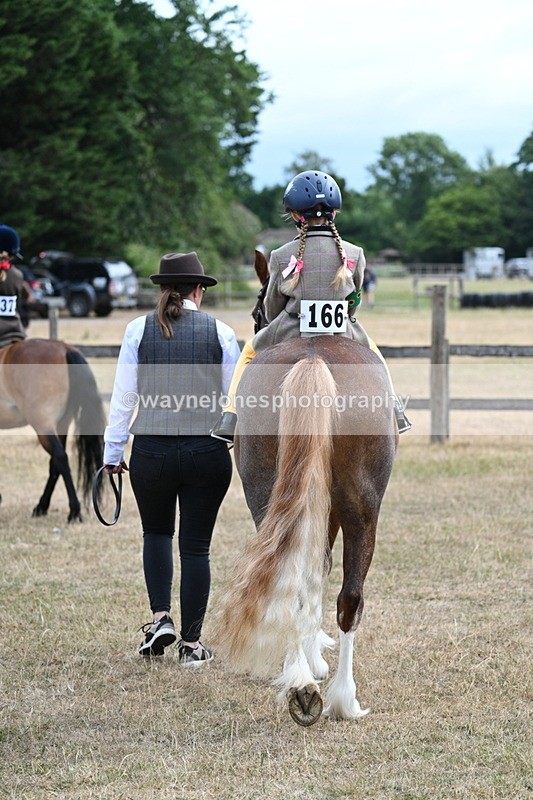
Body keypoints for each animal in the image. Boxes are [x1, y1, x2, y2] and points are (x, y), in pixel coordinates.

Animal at [0, 338, 105, 522]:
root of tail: (65, 348)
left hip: (43, 426)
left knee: (60, 457)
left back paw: (74, 511)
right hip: (62, 424)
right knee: (55, 462)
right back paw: (42, 507)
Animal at [217, 251, 398, 726]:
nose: (257, 318)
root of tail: (314, 357)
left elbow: (316, 570)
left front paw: (311, 657)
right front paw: (314, 657)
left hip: (278, 499)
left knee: (318, 584)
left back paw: (310, 687)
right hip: (358, 509)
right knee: (342, 594)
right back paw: (334, 695)